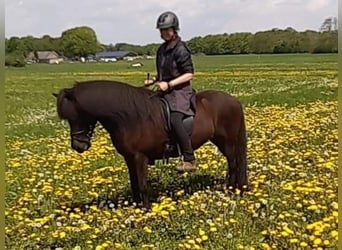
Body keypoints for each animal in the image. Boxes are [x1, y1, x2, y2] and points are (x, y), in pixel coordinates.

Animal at [53, 79, 247, 207]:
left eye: (76, 116)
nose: (78, 146)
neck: (130, 117)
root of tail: (234, 100)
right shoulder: (129, 158)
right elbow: (134, 184)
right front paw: (137, 209)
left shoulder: (140, 157)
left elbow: (143, 185)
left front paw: (146, 212)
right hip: (220, 141)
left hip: (227, 141)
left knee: (234, 164)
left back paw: (231, 190)